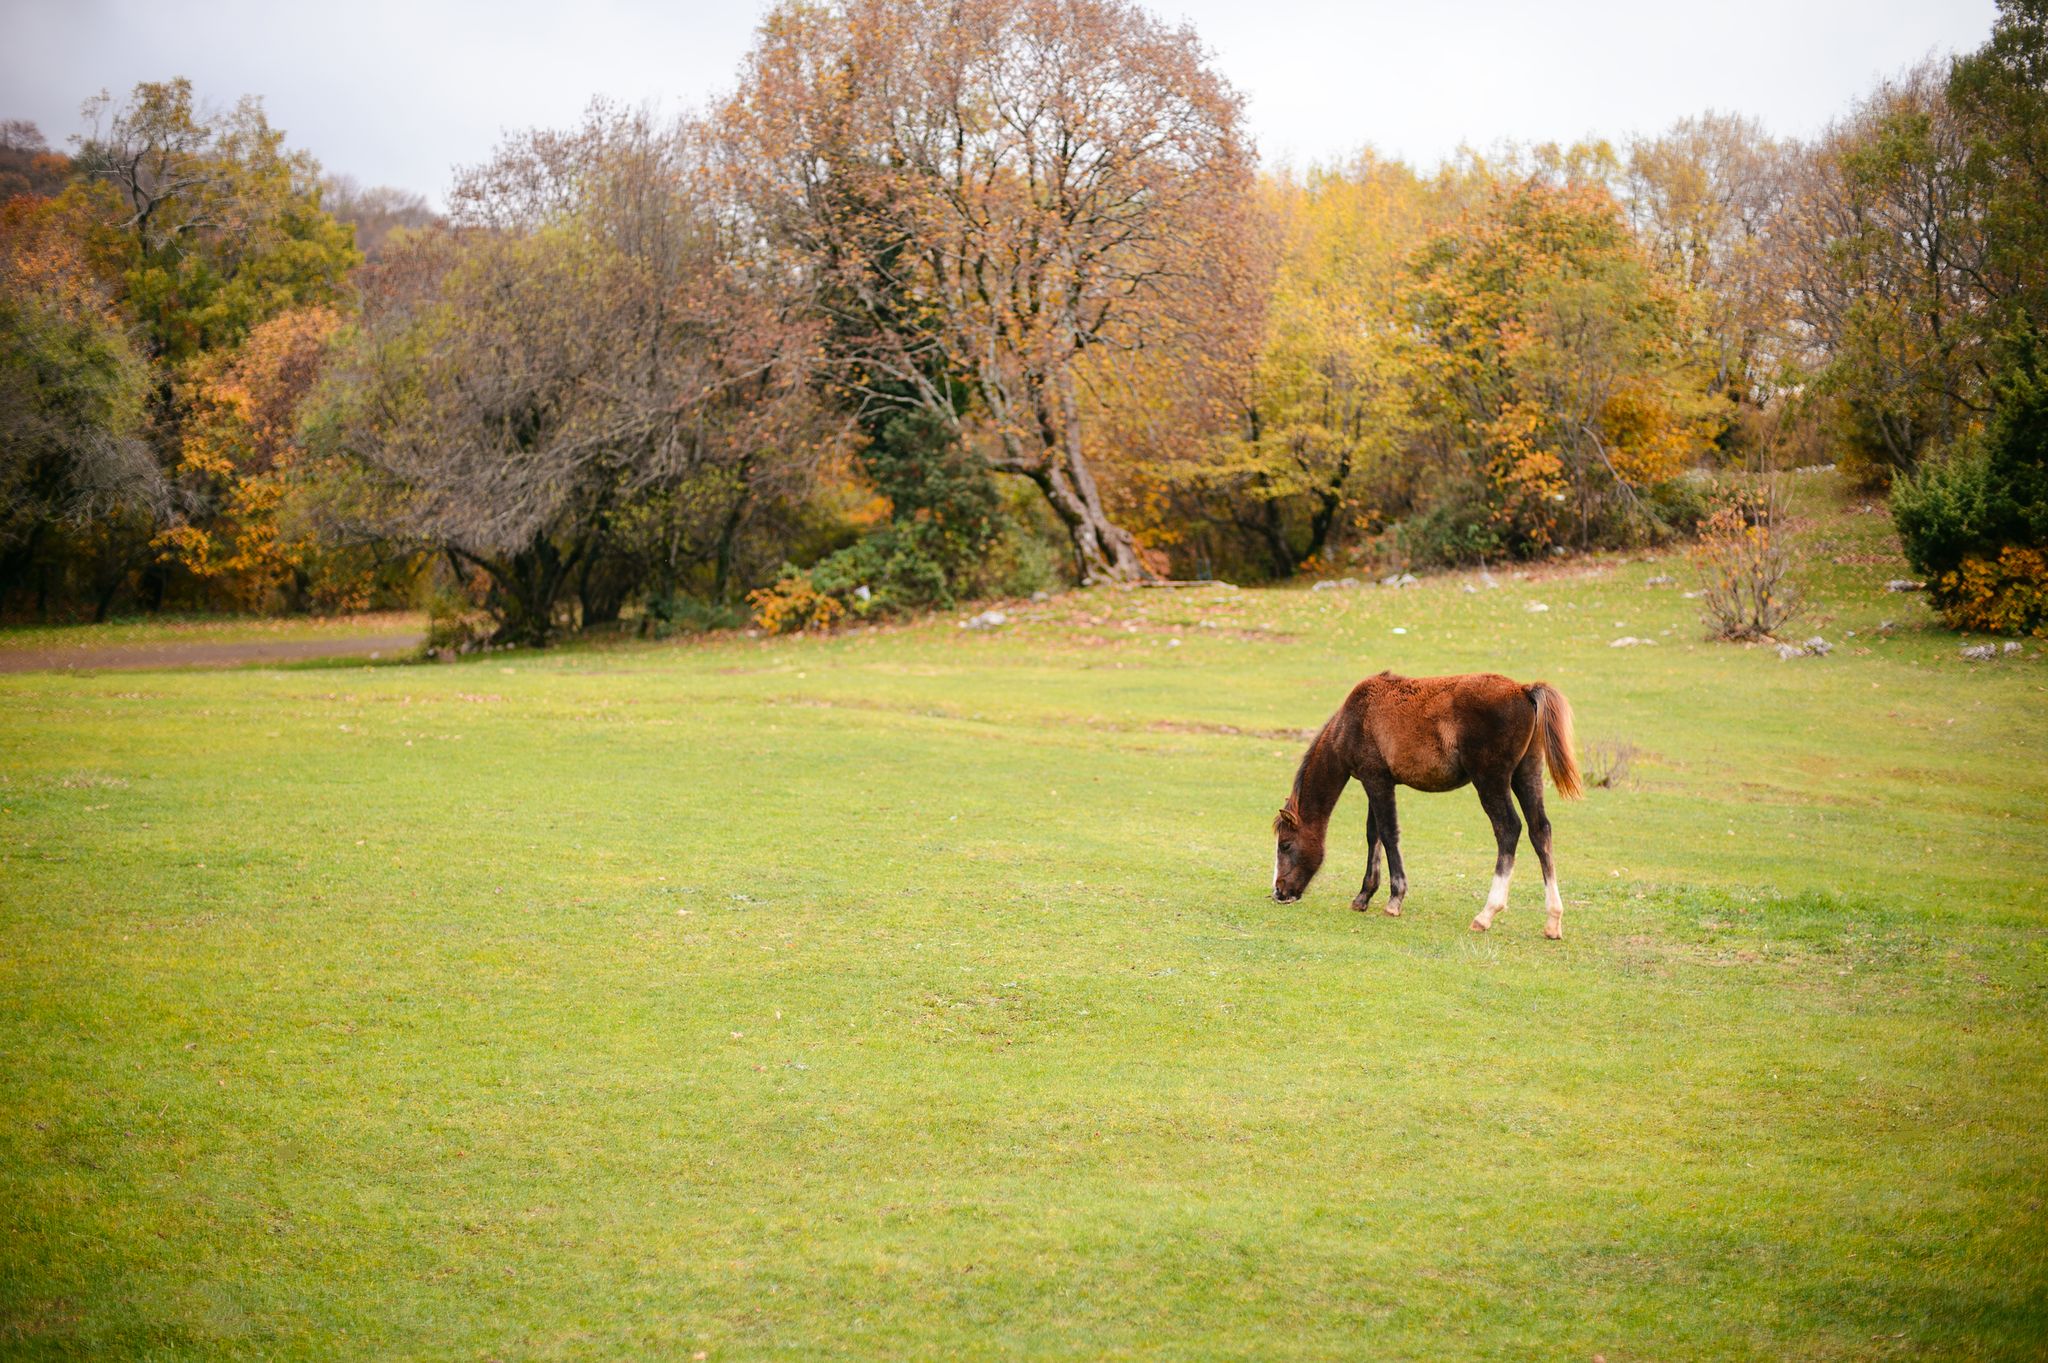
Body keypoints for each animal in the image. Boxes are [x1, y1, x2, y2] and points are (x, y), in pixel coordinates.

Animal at [1271, 672, 1582, 938]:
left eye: (1285, 845)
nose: (1279, 893)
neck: (1353, 720)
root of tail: (1523, 690)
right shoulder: (1378, 781)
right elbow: (1374, 836)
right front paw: (1363, 896)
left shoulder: (1376, 781)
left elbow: (1388, 834)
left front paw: (1394, 899)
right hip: (1526, 774)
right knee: (1540, 831)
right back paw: (1553, 921)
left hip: (1490, 780)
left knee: (1509, 828)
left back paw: (1486, 914)